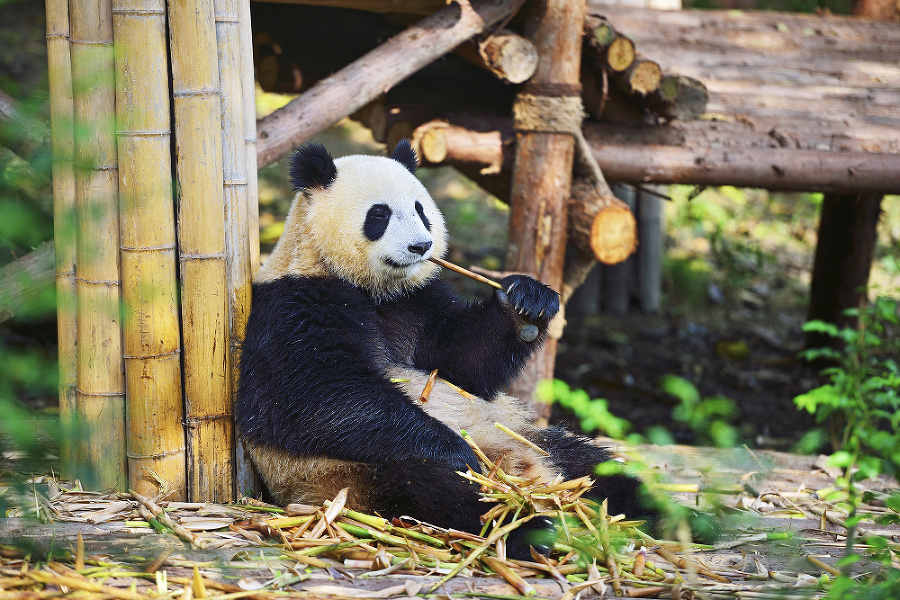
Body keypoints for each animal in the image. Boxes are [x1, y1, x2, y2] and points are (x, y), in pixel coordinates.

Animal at [236, 142, 652, 552]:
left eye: (420, 209)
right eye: (379, 214)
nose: (421, 245)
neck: (370, 288)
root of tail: (527, 471)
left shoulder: (417, 302)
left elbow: (465, 364)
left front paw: (528, 302)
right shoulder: (294, 307)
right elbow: (320, 395)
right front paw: (455, 451)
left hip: (521, 433)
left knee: (590, 464)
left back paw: (650, 511)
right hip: (348, 473)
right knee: (432, 490)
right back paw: (523, 526)